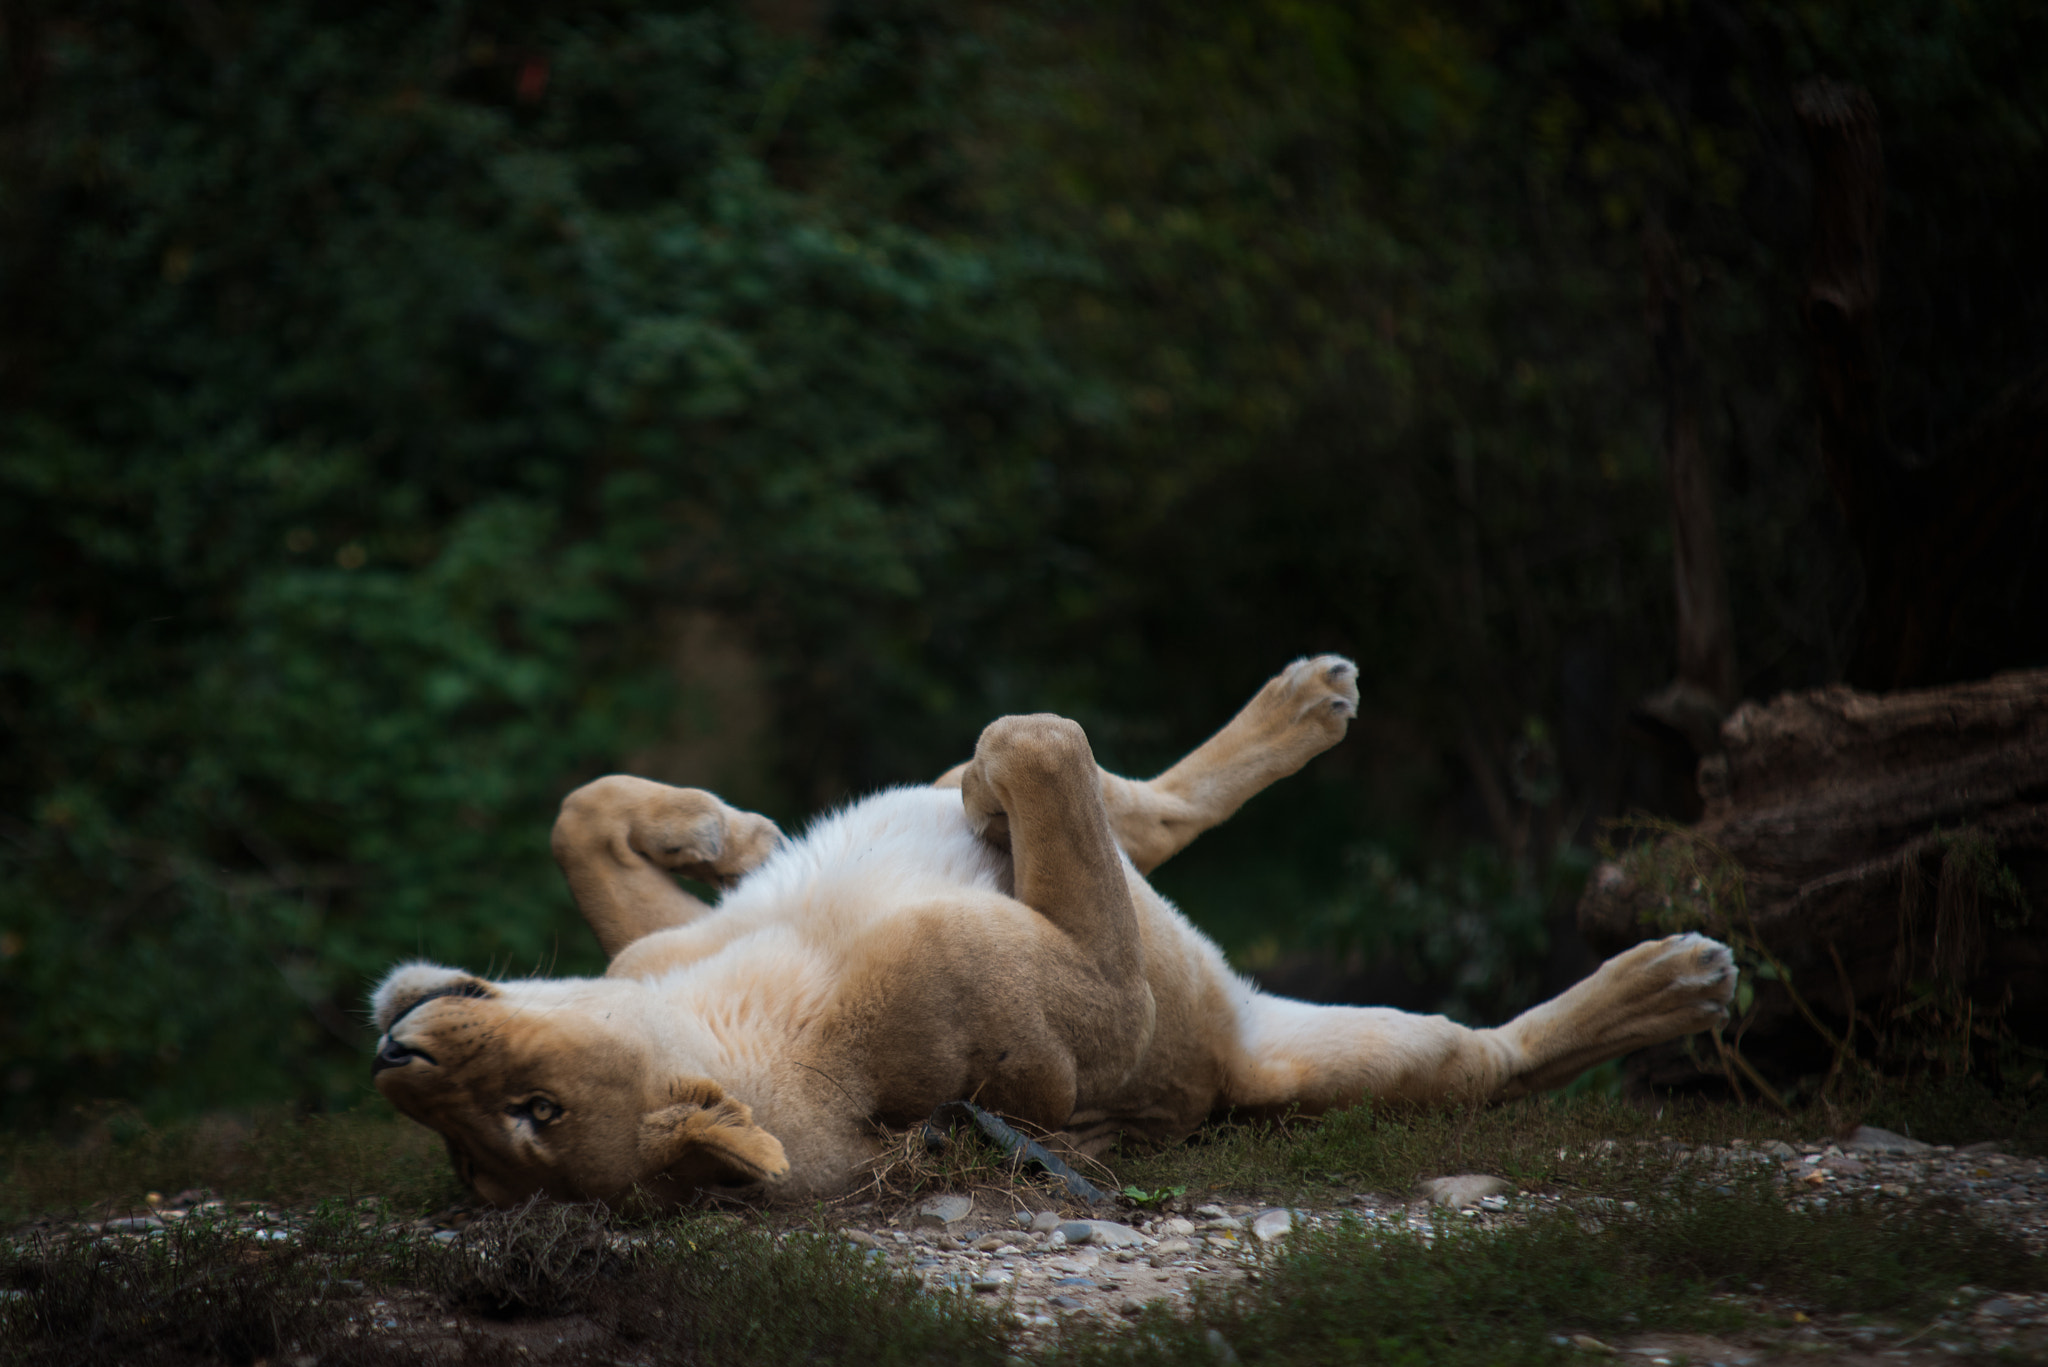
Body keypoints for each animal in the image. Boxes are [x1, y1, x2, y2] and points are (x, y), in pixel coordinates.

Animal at [371, 656, 1735, 1207]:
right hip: (1346, 1055)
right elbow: (1036, 738)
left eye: (531, 1111)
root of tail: (1237, 1054)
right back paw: (1674, 979)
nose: (395, 1057)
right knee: (1495, 1059)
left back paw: (1303, 698)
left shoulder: (652, 946)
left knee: (1151, 808)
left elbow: (576, 809)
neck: (741, 991)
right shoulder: (1099, 1013)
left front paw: (728, 830)